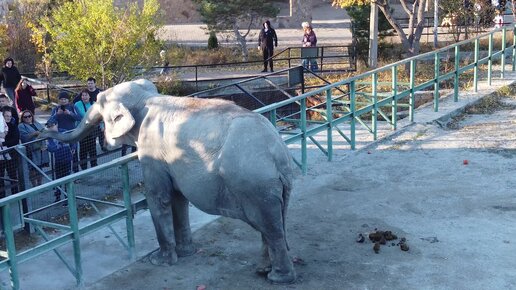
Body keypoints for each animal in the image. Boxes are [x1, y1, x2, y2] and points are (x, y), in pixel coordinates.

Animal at [41, 78, 294, 284]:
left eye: (100, 101)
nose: (42, 132)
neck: (148, 97)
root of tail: (279, 155)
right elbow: (178, 199)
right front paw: (185, 253)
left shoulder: (152, 150)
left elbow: (158, 196)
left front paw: (160, 260)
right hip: (270, 187)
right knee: (276, 224)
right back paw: (263, 270)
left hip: (255, 184)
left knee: (270, 228)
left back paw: (277, 278)